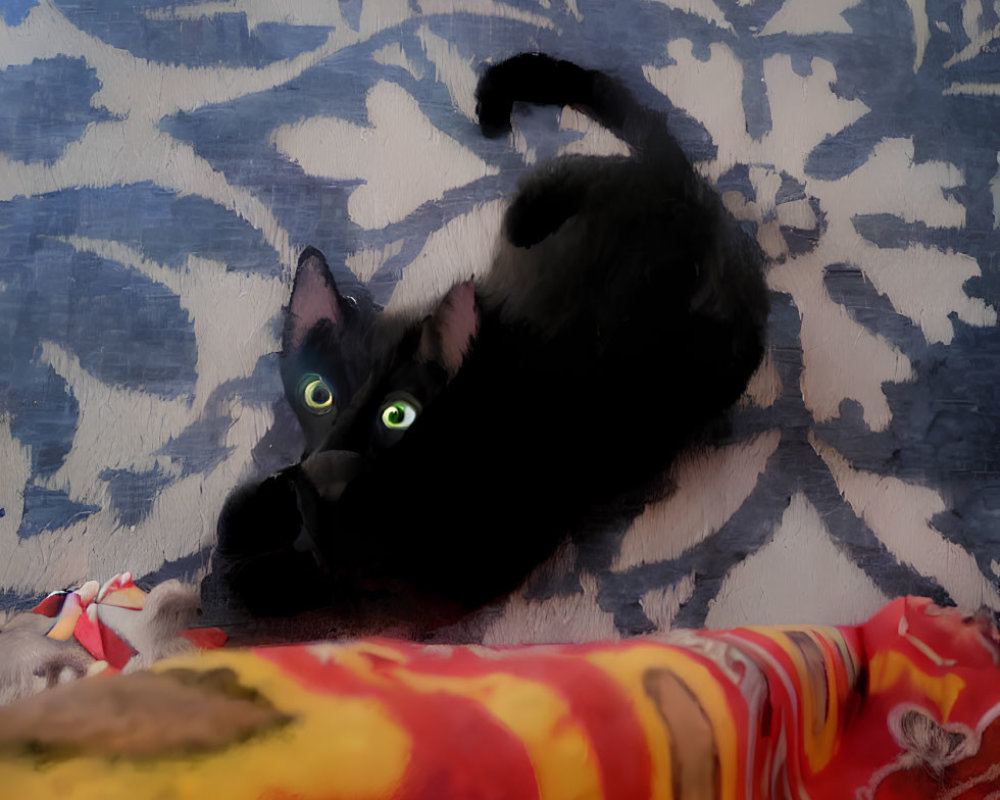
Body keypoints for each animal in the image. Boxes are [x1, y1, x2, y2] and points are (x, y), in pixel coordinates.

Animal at [201, 53, 764, 624]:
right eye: (319, 393)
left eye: (396, 415)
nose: (329, 461)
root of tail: (683, 185)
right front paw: (269, 505)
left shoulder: (456, 578)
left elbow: (327, 579)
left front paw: (261, 568)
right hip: (542, 192)